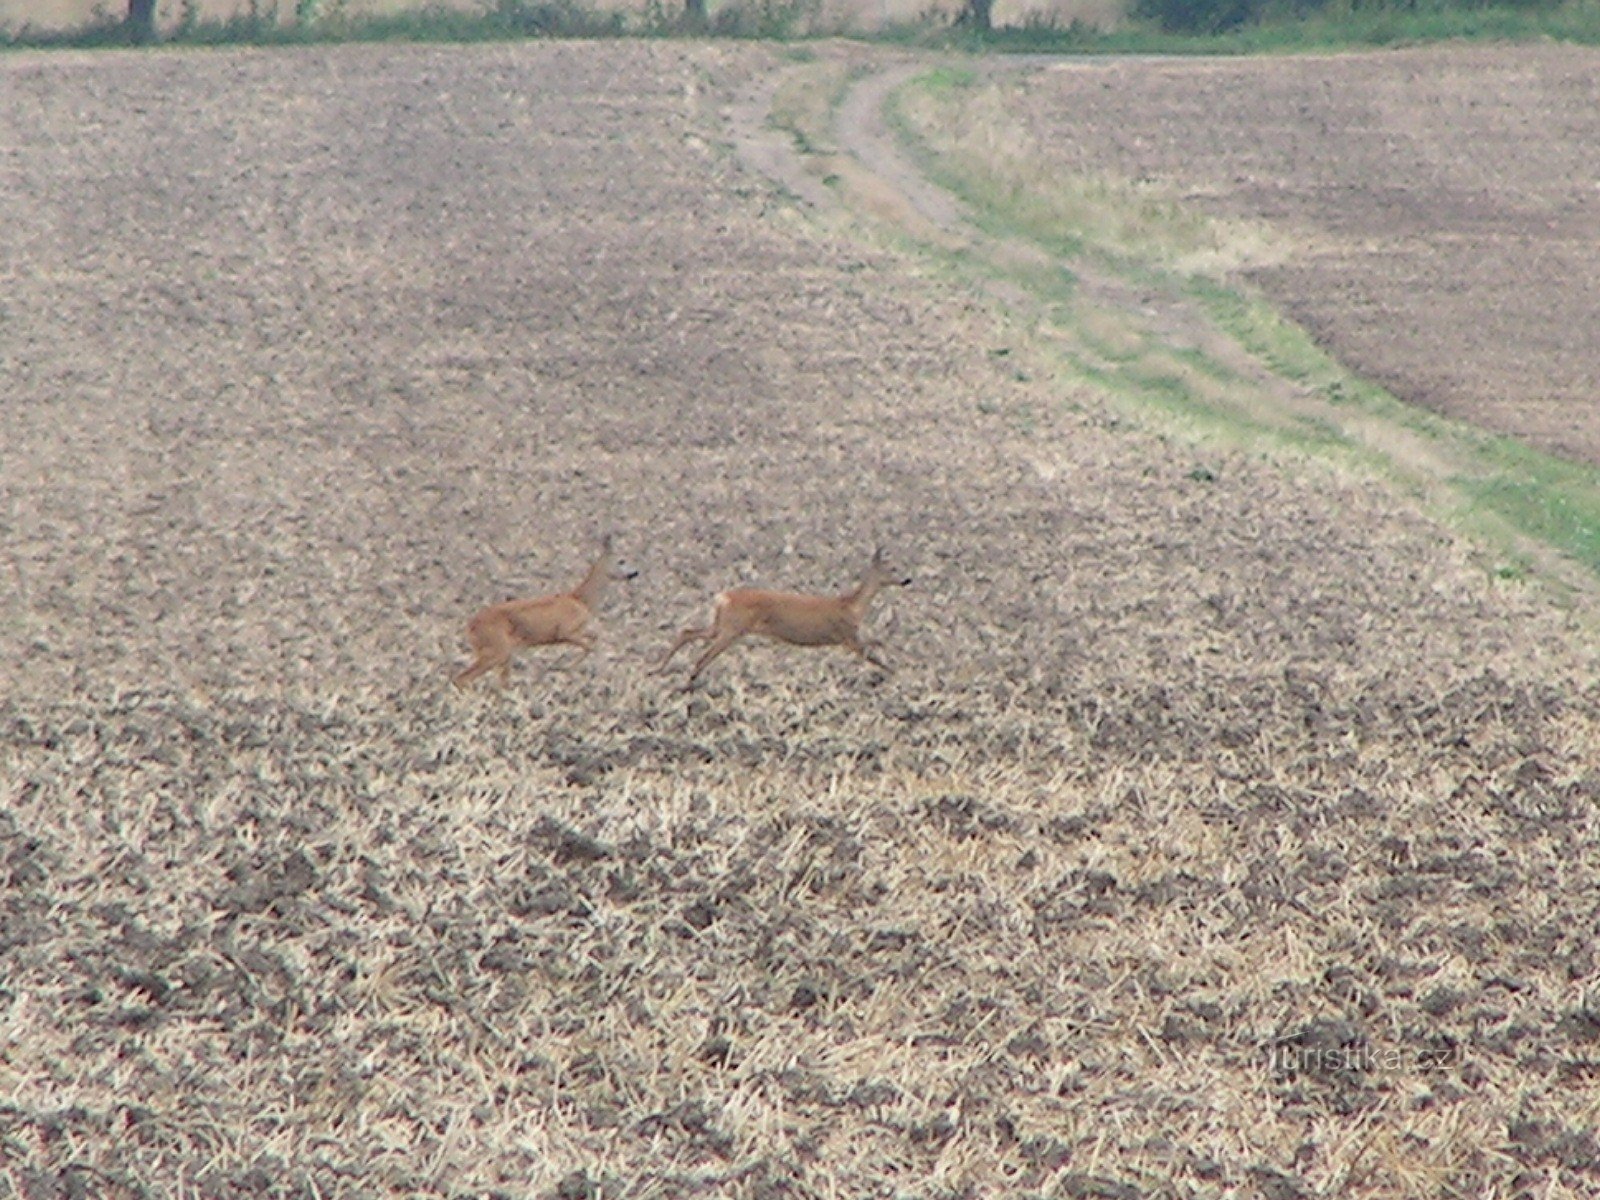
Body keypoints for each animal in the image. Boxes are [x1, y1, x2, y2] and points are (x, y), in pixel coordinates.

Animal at [454, 537, 633, 691]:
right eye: (621, 560)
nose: (634, 573)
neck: (582, 601)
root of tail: (470, 626)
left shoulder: (575, 631)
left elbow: (594, 639)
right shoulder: (565, 631)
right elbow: (589, 646)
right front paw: (566, 668)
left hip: (500, 652)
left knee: (498, 682)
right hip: (497, 648)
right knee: (462, 678)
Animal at [656, 550, 915, 691]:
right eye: (891, 568)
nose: (907, 580)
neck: (852, 607)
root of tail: (722, 597)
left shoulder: (848, 638)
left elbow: (878, 644)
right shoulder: (846, 636)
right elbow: (874, 651)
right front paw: (897, 670)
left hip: (720, 625)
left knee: (687, 632)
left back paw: (659, 669)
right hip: (731, 629)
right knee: (703, 655)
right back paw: (687, 684)